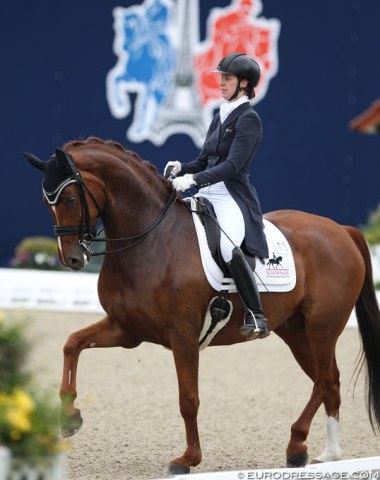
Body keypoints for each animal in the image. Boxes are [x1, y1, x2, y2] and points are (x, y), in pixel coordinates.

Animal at [24, 137, 380, 474]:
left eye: (70, 199)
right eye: (45, 202)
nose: (71, 259)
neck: (150, 239)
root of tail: (340, 229)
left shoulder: (182, 334)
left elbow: (188, 399)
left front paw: (187, 459)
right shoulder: (126, 329)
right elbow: (72, 344)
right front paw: (70, 416)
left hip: (323, 326)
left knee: (324, 379)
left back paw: (296, 445)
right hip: (295, 332)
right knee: (330, 380)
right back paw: (329, 455)